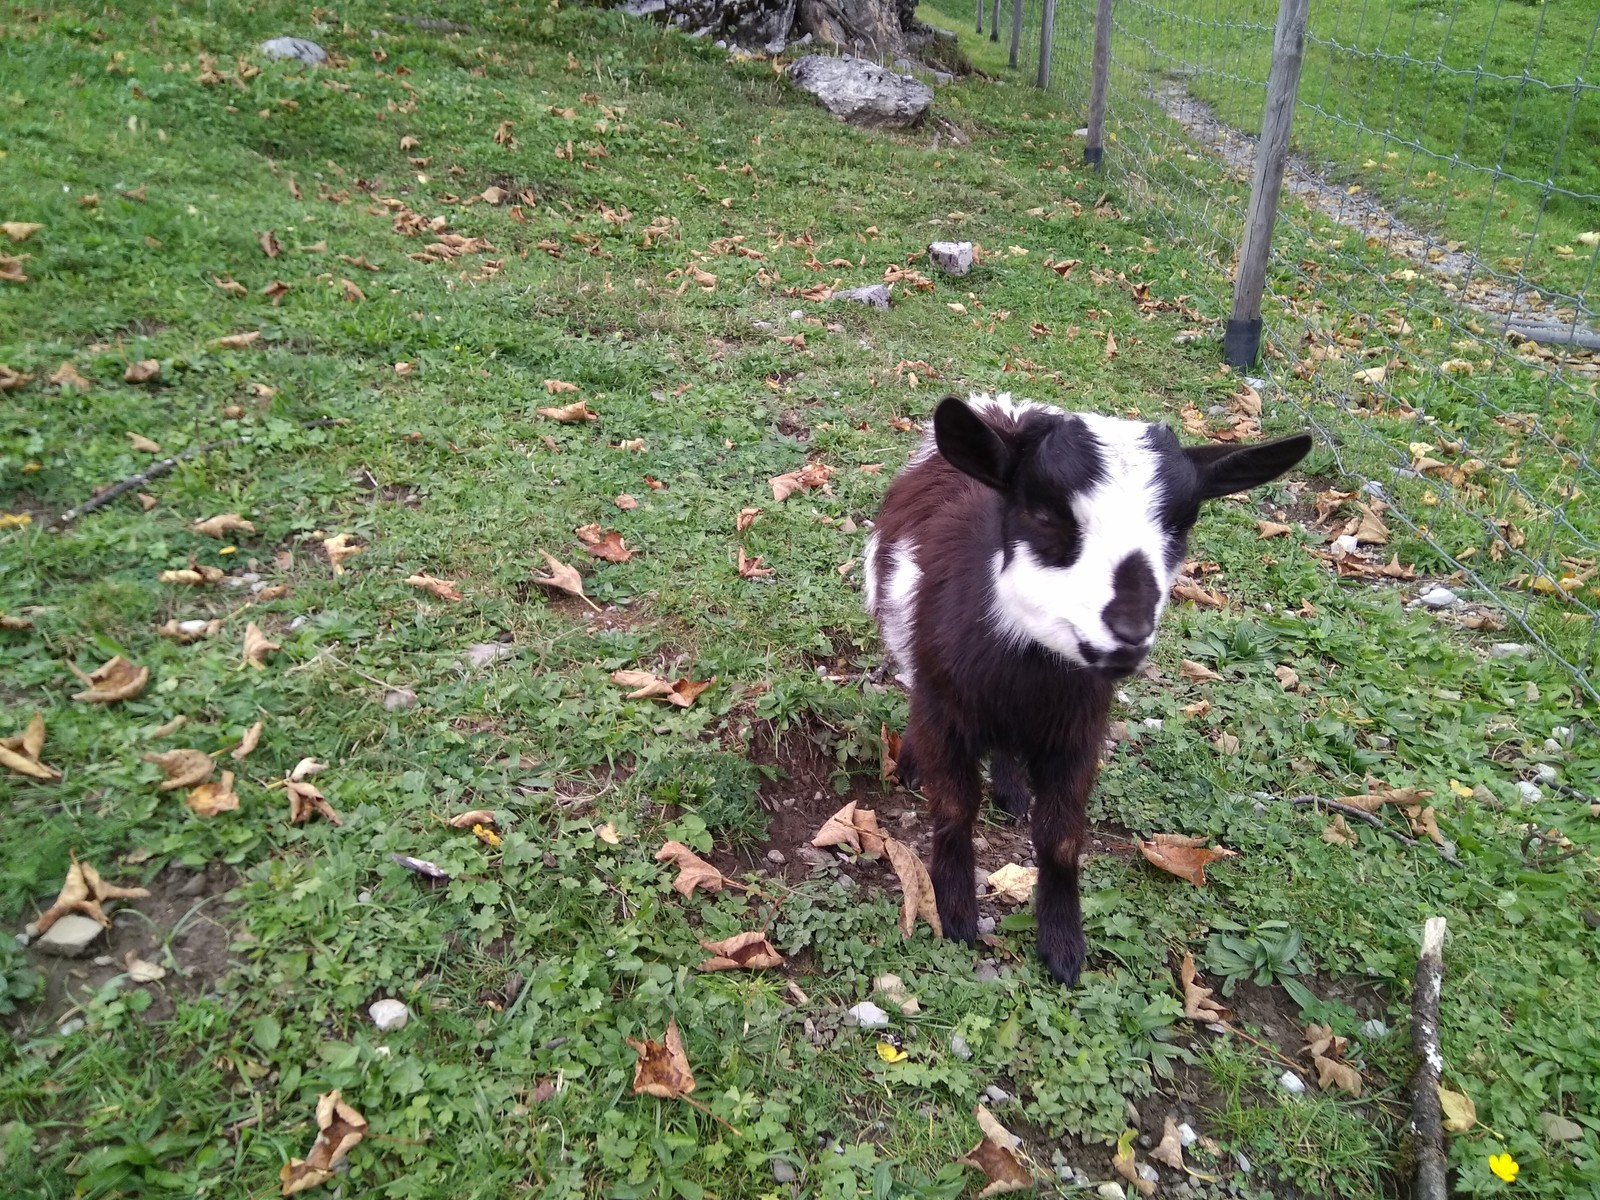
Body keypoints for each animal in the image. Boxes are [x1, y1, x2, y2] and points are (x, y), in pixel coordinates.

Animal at [870, 395, 1305, 985]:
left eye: (1182, 524)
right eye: (1044, 513)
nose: (1127, 632)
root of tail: (1003, 411)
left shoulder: (1077, 732)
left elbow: (1060, 838)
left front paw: (1062, 946)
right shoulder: (947, 708)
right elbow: (956, 808)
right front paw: (956, 915)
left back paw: (1012, 790)